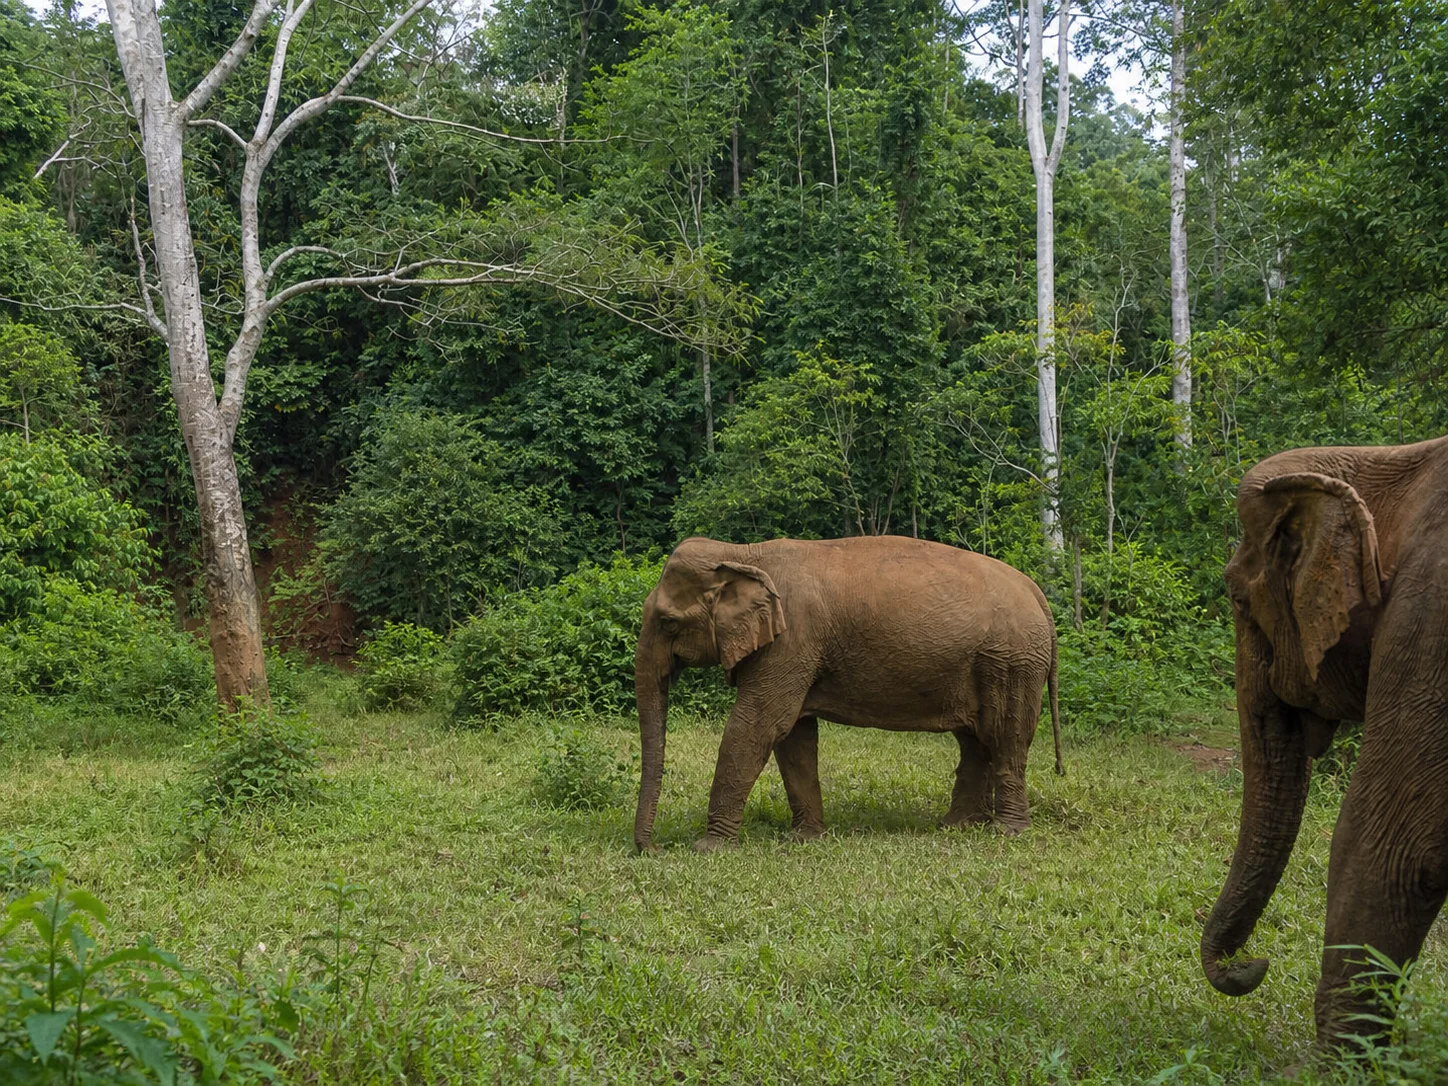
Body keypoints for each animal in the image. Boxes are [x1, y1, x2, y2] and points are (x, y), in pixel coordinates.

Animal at [632, 535, 1064, 854]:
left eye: (668, 622)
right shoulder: (795, 650)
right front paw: (804, 839)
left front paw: (709, 848)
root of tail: (1036, 592)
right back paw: (956, 826)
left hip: (1011, 661)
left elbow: (759, 724)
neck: (741, 553)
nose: (653, 849)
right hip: (984, 662)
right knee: (975, 741)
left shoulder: (791, 642)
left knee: (1005, 737)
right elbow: (794, 736)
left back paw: (1006, 831)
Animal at [1201, 433, 1448, 1048]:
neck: (1390, 459)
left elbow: (1386, 844)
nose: (1251, 964)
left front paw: (1337, 1061)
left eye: (1238, 602)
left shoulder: (1429, 622)